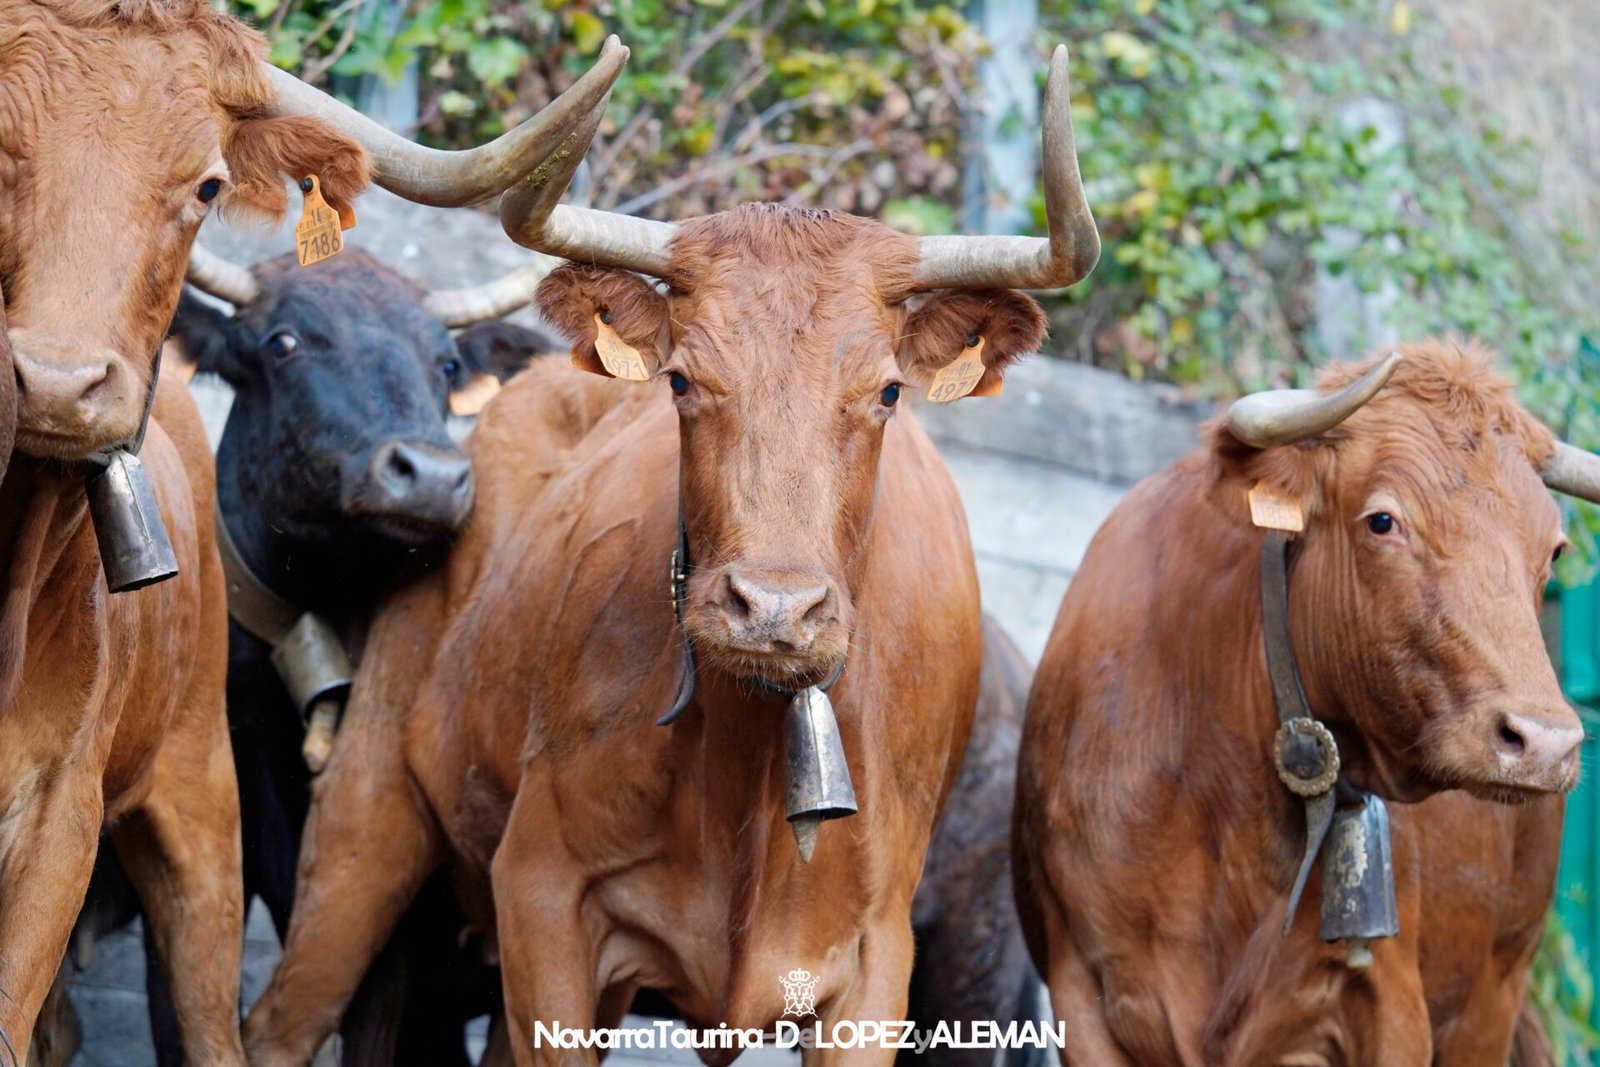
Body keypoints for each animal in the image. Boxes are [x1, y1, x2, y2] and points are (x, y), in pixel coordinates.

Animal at [243, 43, 1100, 1067]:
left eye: (889, 389)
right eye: (685, 379)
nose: (773, 607)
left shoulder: (876, 966)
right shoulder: (546, 897)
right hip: (363, 825)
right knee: (278, 1022)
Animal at [1017, 343, 1593, 1067]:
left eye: (1554, 549)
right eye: (1383, 520)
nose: (1544, 741)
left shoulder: (1391, 1009)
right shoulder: (1083, 992)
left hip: (1493, 991)